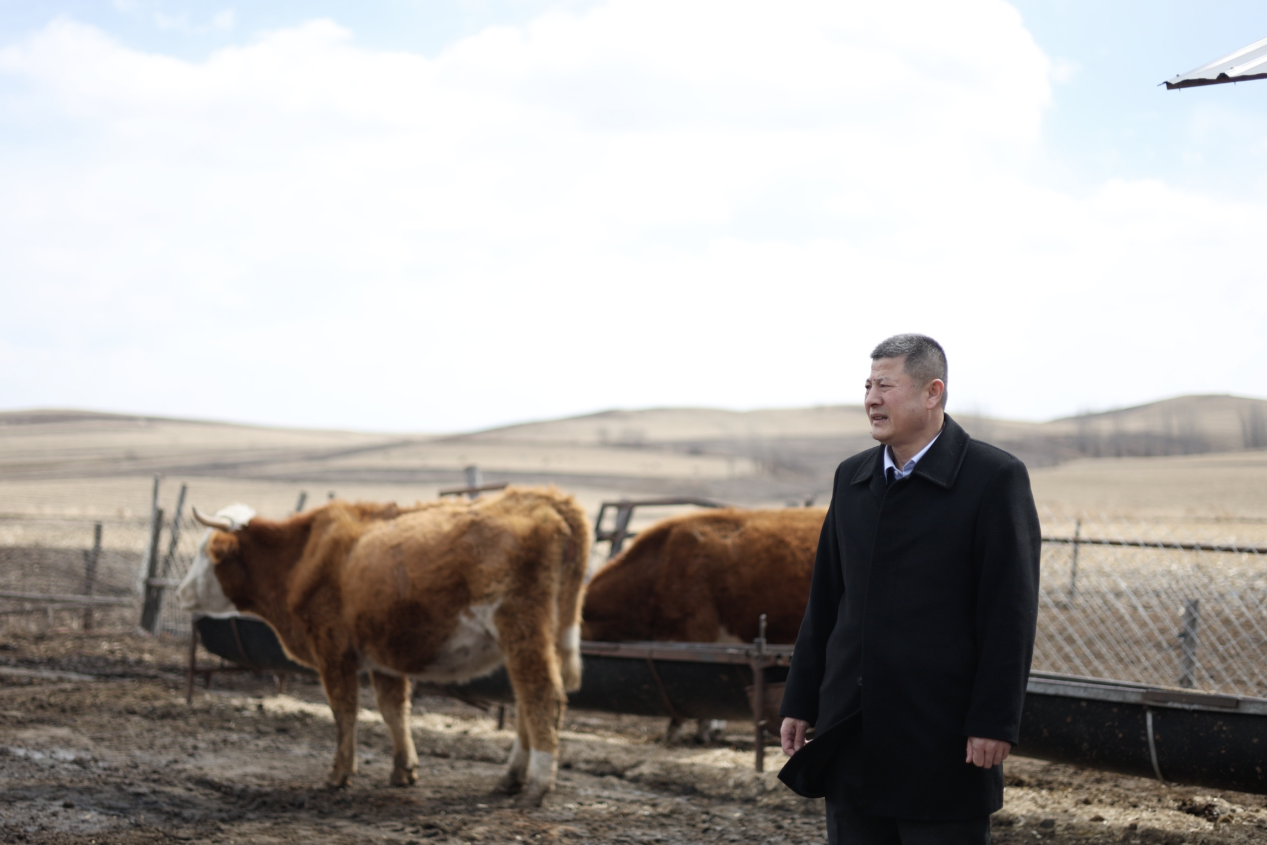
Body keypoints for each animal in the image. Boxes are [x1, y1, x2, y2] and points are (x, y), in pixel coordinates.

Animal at [177, 487, 589, 807]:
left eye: (205, 553)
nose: (181, 592)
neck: (301, 556)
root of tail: (546, 497)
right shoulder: (382, 660)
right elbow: (394, 711)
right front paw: (403, 770)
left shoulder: (333, 652)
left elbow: (345, 712)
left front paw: (339, 773)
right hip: (533, 640)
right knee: (525, 703)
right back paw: (511, 779)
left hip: (521, 629)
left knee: (541, 696)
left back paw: (537, 785)